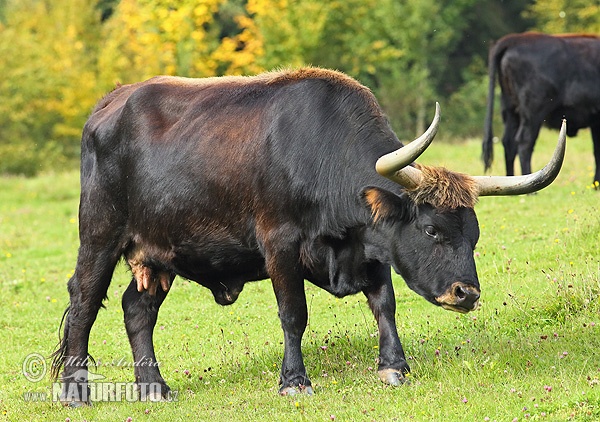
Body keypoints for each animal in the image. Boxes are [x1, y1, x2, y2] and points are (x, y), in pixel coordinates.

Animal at [52, 67, 568, 406]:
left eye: (474, 236)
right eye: (431, 229)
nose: (466, 293)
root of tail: (110, 104)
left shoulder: (372, 247)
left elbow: (385, 305)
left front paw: (394, 366)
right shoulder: (279, 246)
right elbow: (293, 313)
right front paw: (294, 380)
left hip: (159, 256)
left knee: (136, 309)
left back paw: (155, 388)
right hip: (99, 235)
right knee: (83, 300)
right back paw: (75, 392)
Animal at [482, 32, 600, 184]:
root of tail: (515, 39)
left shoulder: (595, 122)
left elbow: (596, 152)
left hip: (510, 110)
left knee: (509, 142)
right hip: (533, 112)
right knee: (524, 141)